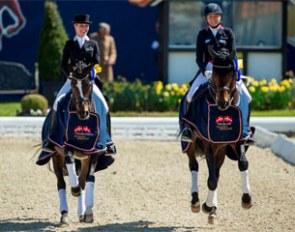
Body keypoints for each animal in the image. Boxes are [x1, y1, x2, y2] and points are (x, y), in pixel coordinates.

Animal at [182, 45, 253, 225]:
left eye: (232, 74)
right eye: (213, 74)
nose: (223, 102)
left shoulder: (238, 140)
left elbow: (243, 164)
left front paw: (246, 199)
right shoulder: (208, 144)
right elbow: (211, 180)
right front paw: (206, 206)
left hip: (221, 150)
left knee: (216, 173)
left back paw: (212, 210)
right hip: (191, 144)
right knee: (194, 166)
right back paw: (196, 202)